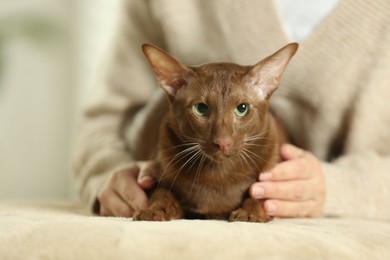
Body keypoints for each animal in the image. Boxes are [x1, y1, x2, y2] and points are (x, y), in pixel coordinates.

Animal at [133, 43, 298, 223]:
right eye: (201, 108)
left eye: (242, 108)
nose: (222, 142)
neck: (219, 175)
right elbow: (162, 194)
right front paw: (153, 211)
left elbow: (258, 196)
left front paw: (249, 213)